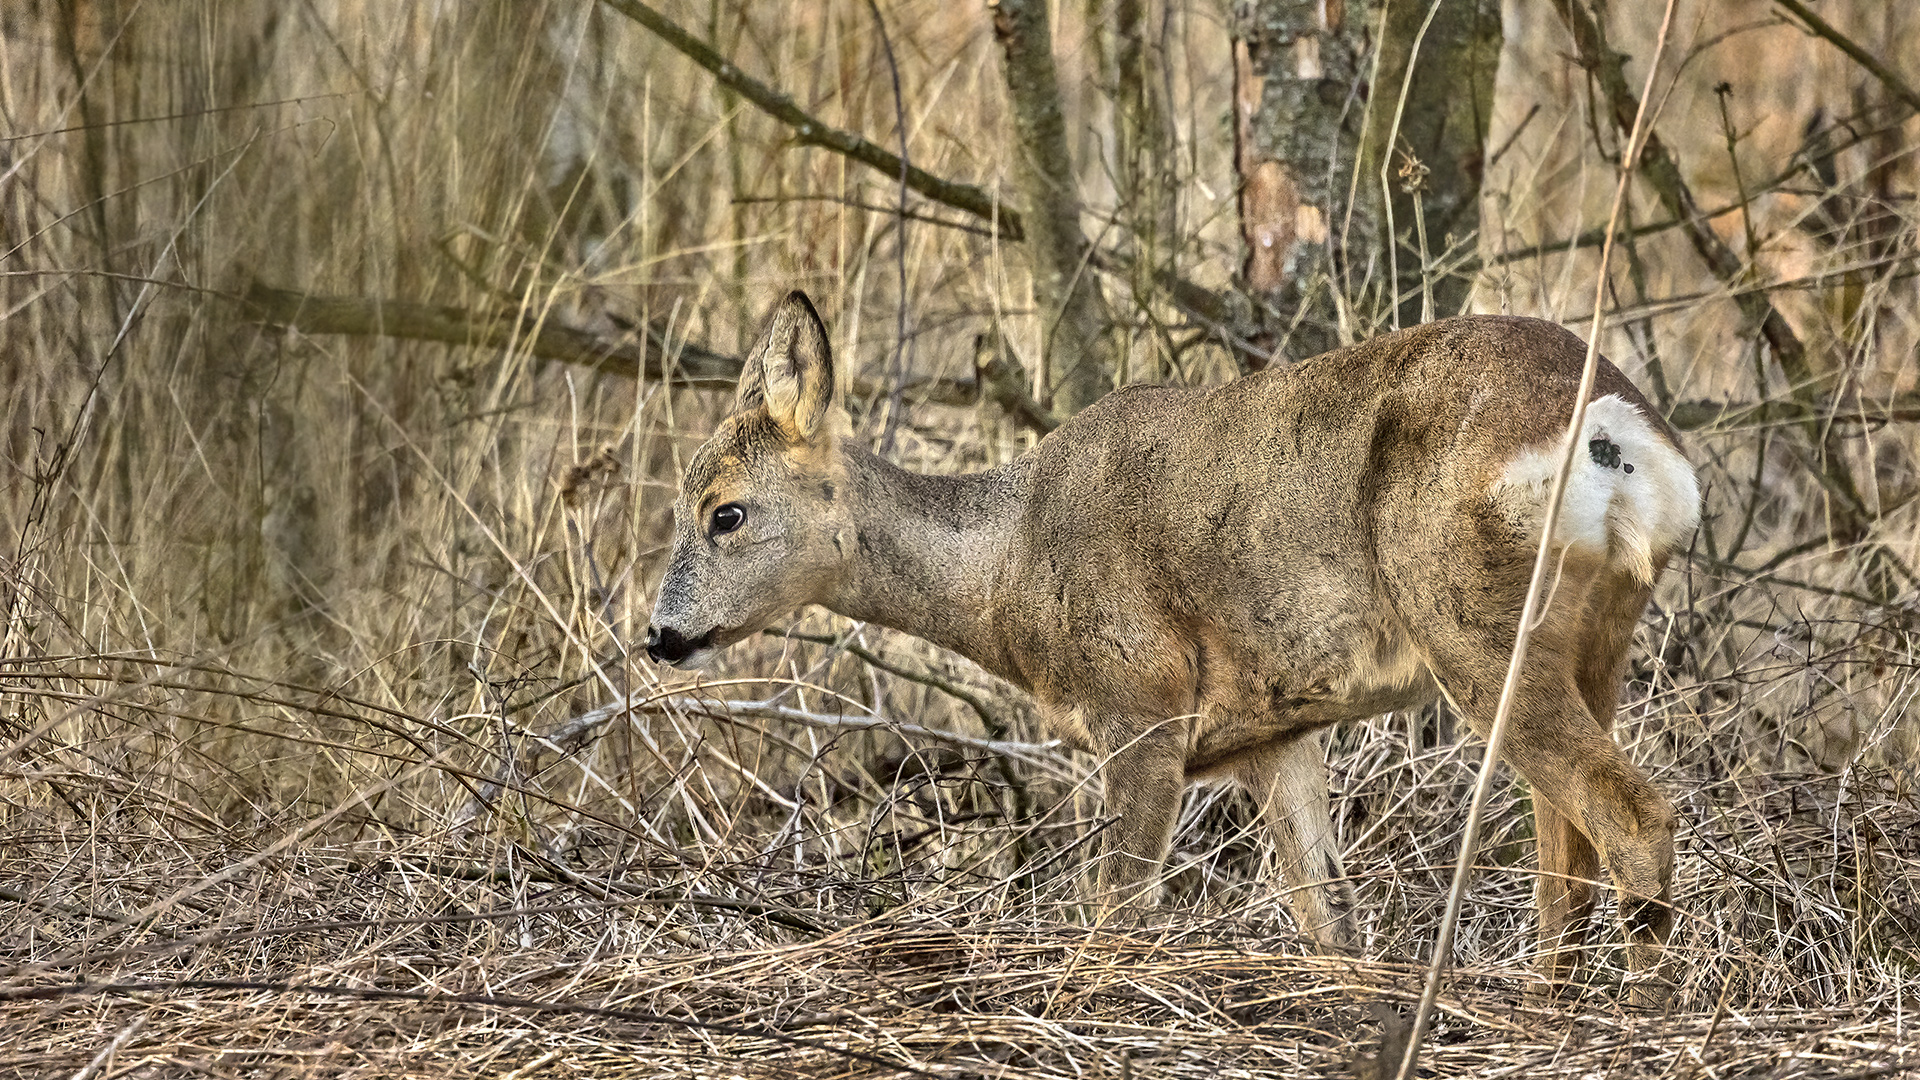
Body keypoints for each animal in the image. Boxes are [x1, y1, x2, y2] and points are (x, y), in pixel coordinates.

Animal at [645, 291, 1699, 1004]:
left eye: (725, 512)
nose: (660, 635)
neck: (1008, 563)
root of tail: (1615, 430)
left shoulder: (1141, 706)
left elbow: (1119, 912)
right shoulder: (1276, 735)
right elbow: (1330, 918)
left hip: (1472, 624)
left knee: (1632, 817)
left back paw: (1642, 1019)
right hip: (1596, 635)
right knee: (1569, 856)